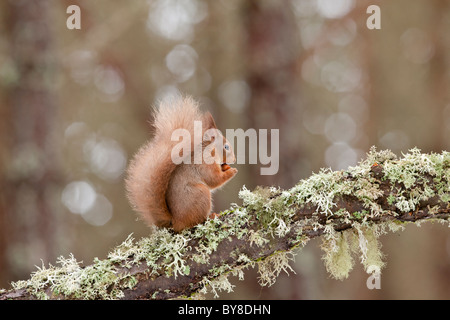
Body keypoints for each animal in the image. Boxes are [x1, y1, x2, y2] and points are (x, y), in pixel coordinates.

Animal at [125, 96, 237, 231]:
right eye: (226, 147)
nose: (234, 160)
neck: (210, 151)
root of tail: (176, 222)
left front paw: (227, 167)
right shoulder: (205, 164)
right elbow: (214, 179)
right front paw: (232, 171)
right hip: (200, 195)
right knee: (196, 221)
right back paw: (211, 216)